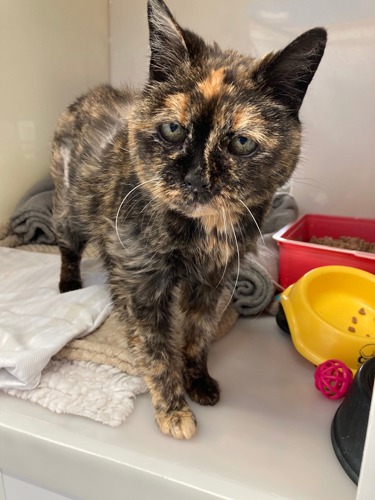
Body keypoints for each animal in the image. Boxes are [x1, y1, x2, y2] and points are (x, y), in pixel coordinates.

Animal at [51, 0, 328, 438]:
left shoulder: (214, 280)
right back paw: (68, 283)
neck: (202, 232)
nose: (196, 177)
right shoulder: (142, 285)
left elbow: (198, 333)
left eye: (241, 142)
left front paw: (198, 379)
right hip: (70, 208)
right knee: (67, 244)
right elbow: (156, 350)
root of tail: (89, 94)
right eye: (171, 129)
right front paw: (173, 409)